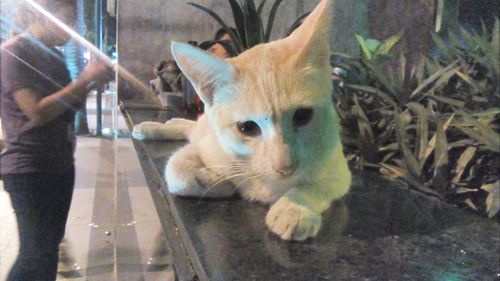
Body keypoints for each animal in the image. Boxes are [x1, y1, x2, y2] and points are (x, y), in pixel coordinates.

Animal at [133, 0, 352, 241]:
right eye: (247, 127)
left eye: (303, 115)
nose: (285, 166)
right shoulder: (208, 147)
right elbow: (175, 171)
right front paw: (215, 182)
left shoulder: (340, 170)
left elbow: (318, 185)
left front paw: (294, 208)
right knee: (192, 130)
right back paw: (153, 127)